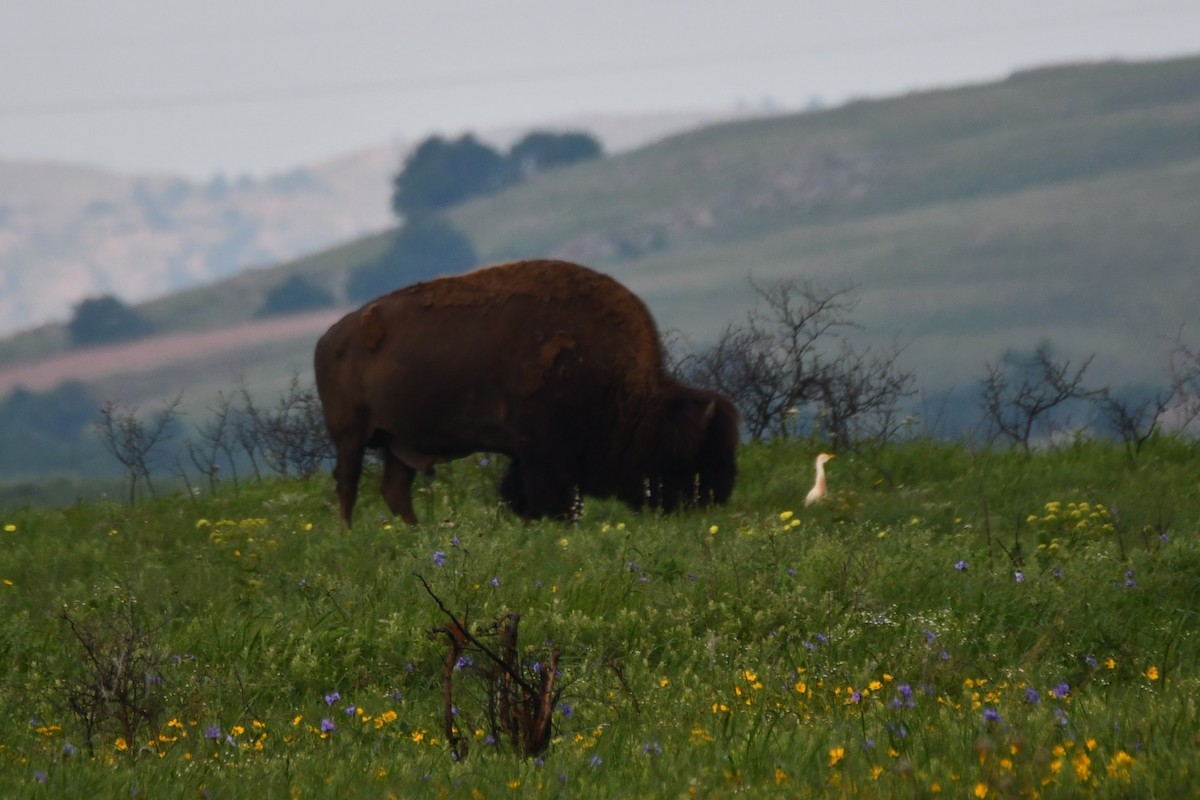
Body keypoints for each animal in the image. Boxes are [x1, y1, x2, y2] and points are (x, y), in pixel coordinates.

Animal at [314, 260, 734, 527]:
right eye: (688, 456)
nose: (712, 501)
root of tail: (330, 337)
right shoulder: (541, 448)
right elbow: (548, 495)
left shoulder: (529, 452)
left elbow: (523, 493)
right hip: (351, 436)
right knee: (347, 485)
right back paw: (348, 535)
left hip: (397, 441)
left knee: (394, 489)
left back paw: (420, 534)